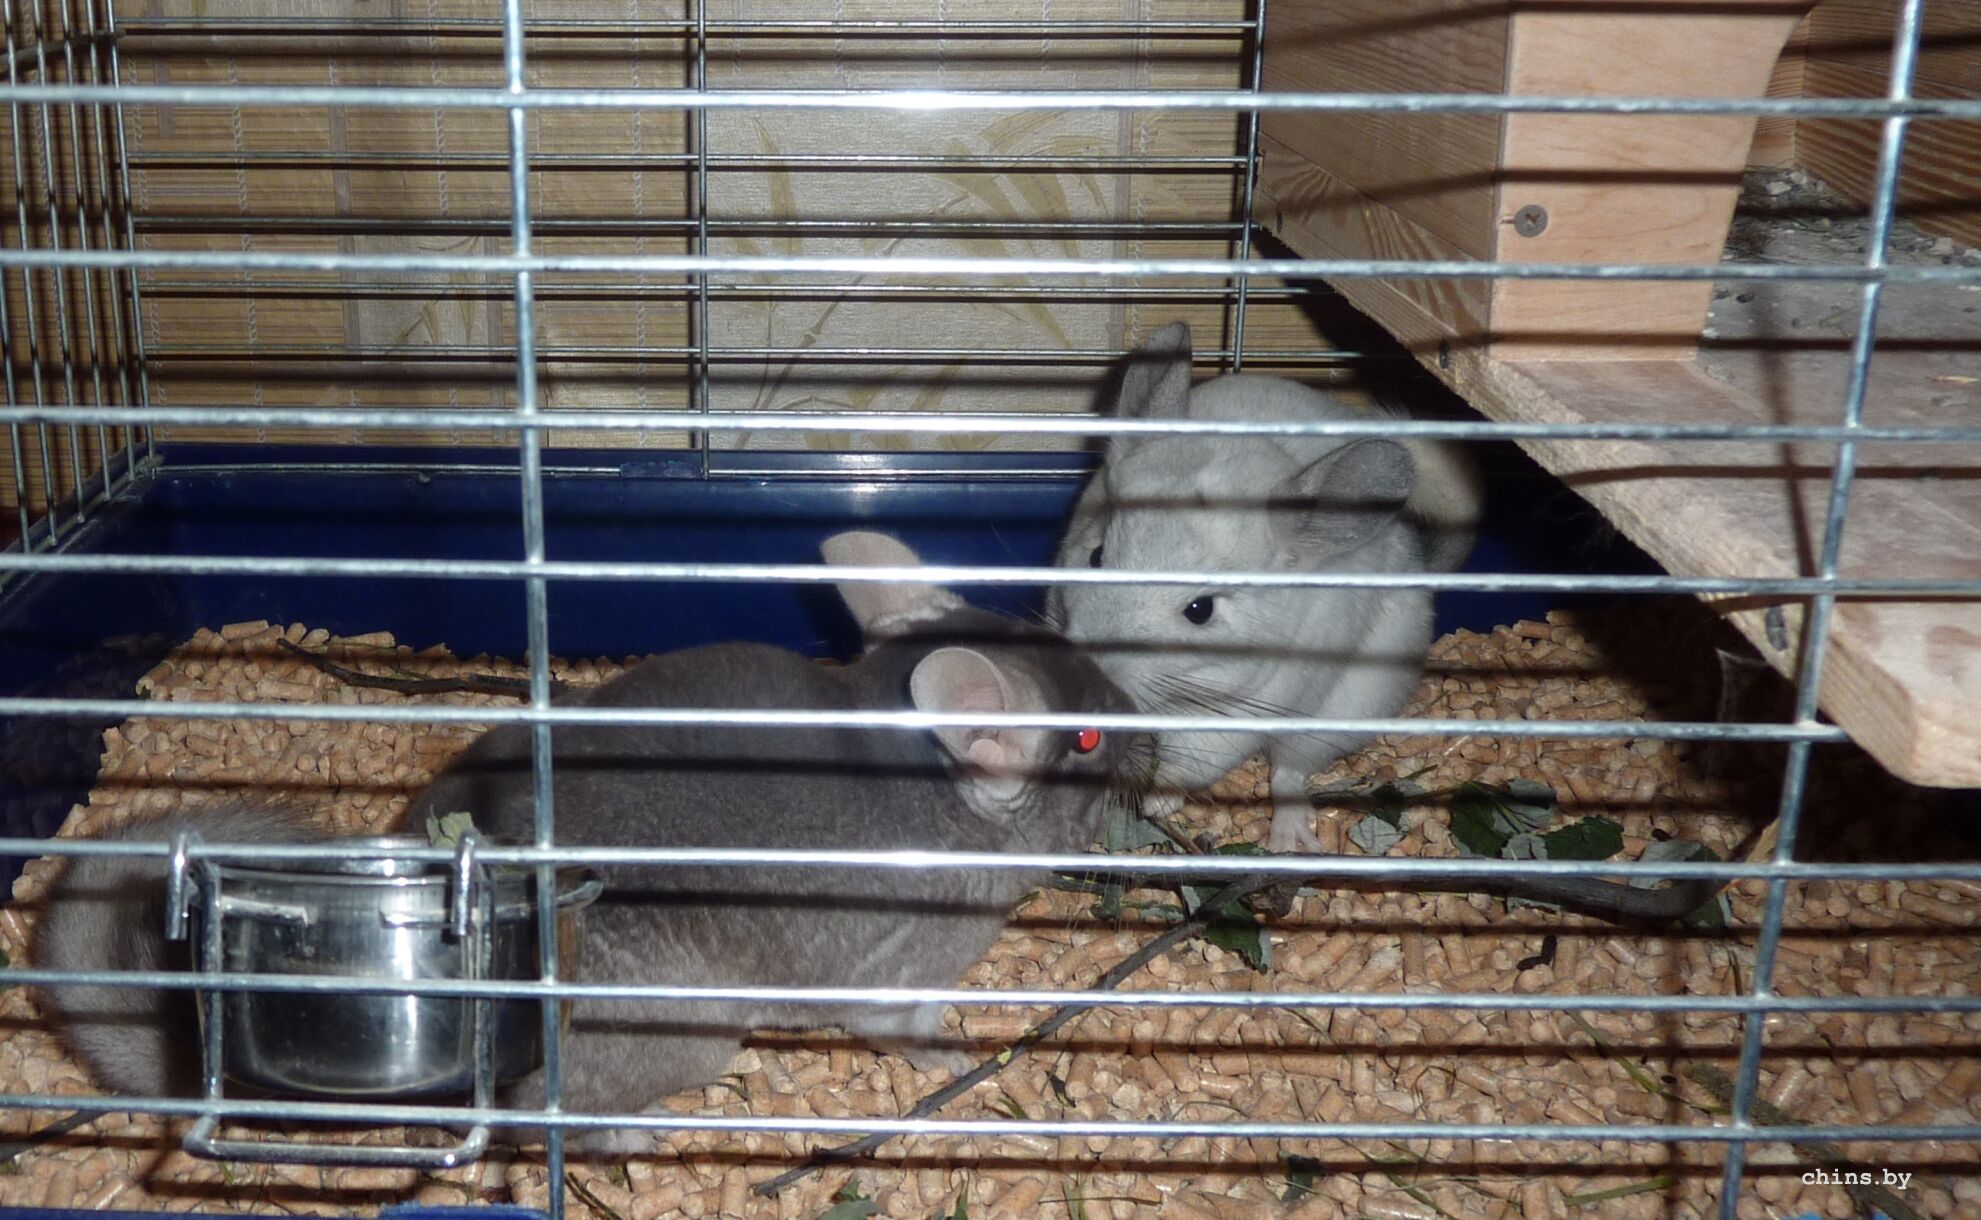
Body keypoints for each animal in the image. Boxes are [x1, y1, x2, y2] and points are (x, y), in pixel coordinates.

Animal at [38, 530, 1143, 1157]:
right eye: (1089, 738)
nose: (1139, 716)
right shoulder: (898, 974)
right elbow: (908, 1026)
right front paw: (963, 1052)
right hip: (684, 1032)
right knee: (546, 1115)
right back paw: (640, 1130)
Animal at [1048, 320, 1484, 854]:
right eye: (1096, 556)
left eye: (1200, 610)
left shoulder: (1235, 714)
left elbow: (1191, 762)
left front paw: (1155, 803)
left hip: (1336, 717)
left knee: (1290, 773)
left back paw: (1289, 838)